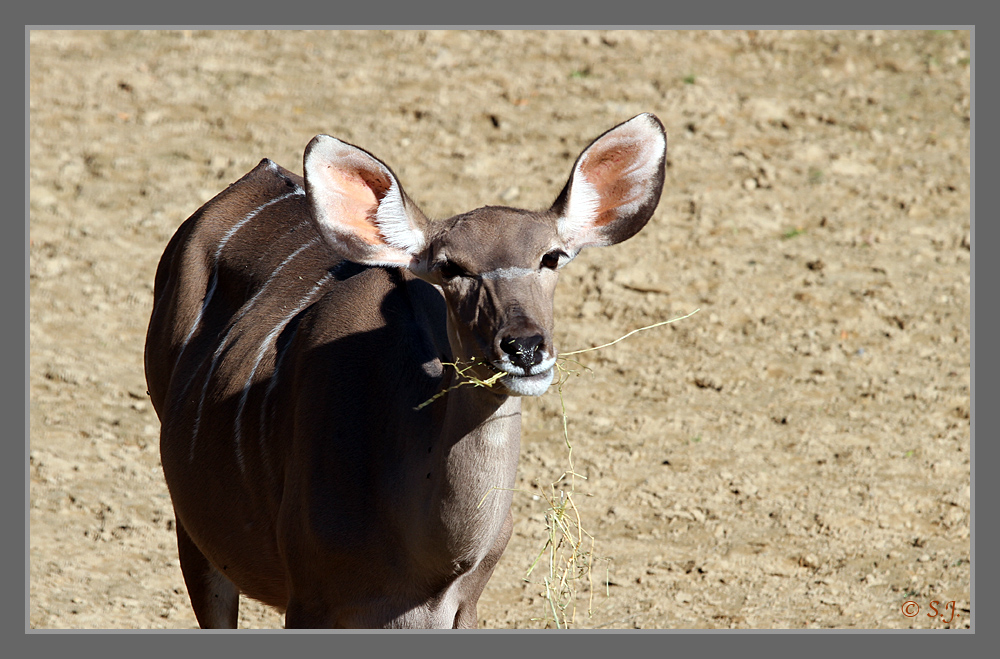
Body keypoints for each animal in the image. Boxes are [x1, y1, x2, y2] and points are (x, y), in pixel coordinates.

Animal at [145, 113, 668, 628]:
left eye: (551, 257)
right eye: (450, 267)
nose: (524, 348)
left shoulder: (463, 609)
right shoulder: (309, 601)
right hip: (193, 529)